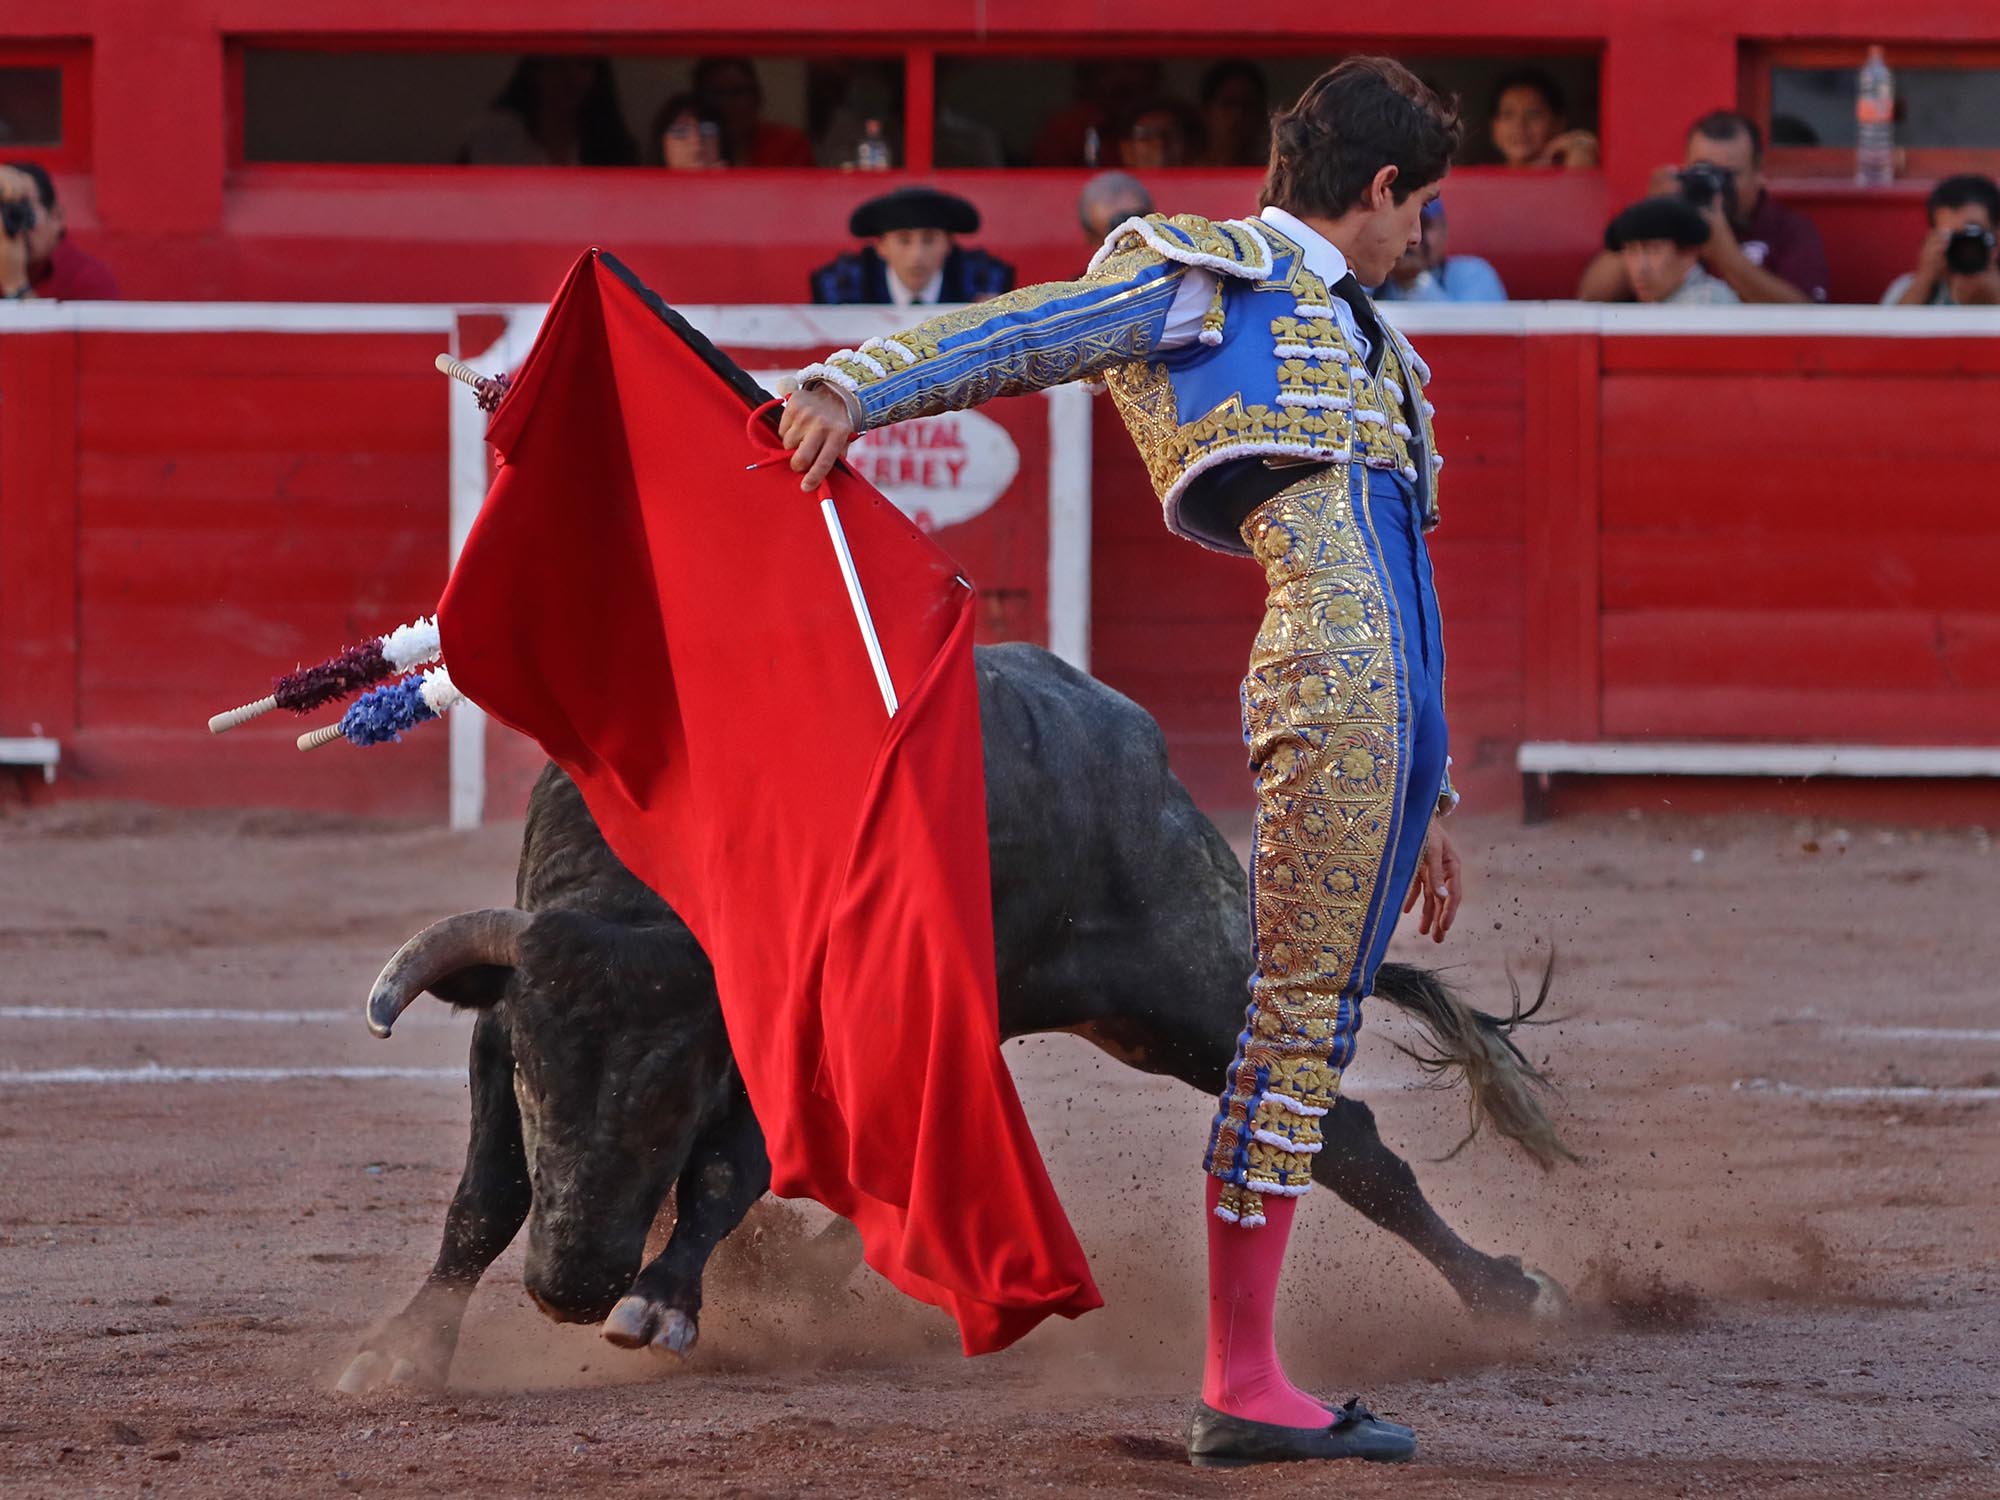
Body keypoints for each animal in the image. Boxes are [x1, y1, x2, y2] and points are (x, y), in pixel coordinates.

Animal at [336, 648, 1568, 1400]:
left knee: (1345, 1142)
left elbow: (725, 1174)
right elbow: (483, 1198)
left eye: (676, 1088)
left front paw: (661, 1303)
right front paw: (397, 1352)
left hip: (1183, 986)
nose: (569, 1286)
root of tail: (1133, 738)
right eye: (535, 1076)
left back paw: (1510, 1295)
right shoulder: (500, 1026)